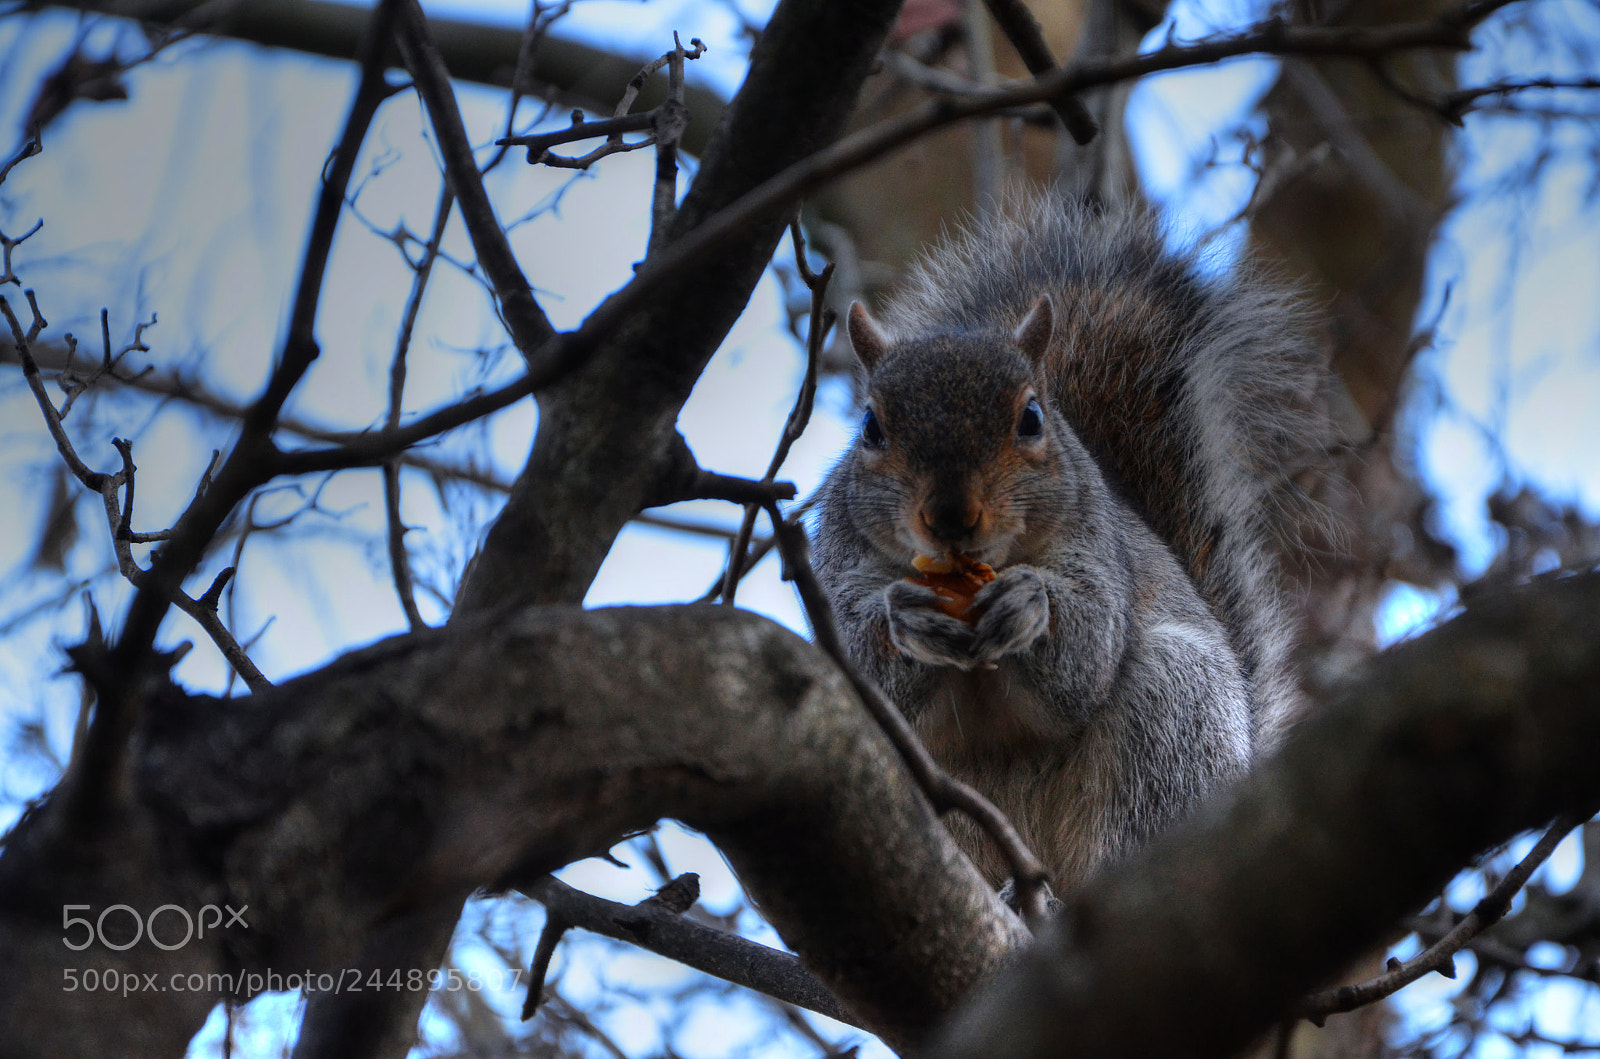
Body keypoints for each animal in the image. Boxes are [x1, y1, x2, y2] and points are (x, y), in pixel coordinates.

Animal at [810, 193, 1330, 891]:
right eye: (870, 427)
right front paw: (903, 618)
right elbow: (857, 660)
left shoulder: (1098, 548)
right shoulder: (837, 562)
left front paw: (1030, 605)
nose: (951, 516)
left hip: (1176, 719)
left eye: (1031, 418)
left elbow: (1085, 657)